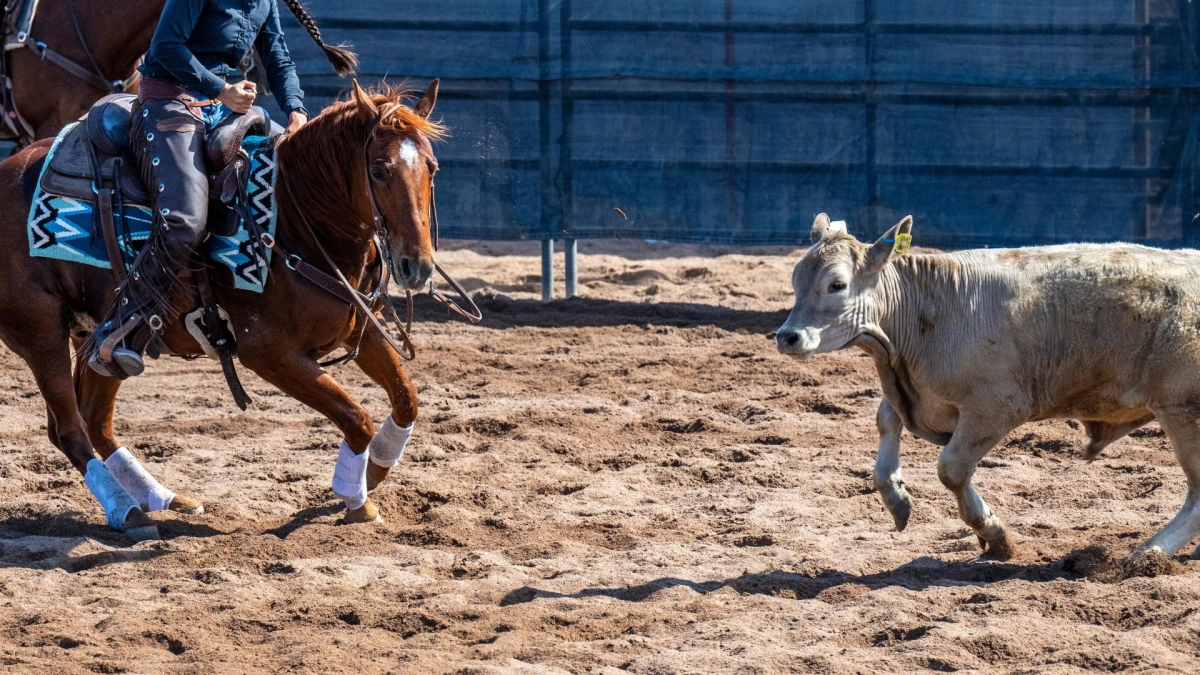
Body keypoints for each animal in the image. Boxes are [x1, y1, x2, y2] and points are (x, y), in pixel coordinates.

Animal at [0, 79, 445, 540]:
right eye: (378, 170)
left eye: (431, 167)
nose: (417, 266)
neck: (294, 220)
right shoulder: (270, 355)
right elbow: (356, 417)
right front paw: (357, 498)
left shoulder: (361, 328)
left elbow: (406, 398)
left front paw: (375, 470)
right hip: (40, 333)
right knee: (70, 429)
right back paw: (128, 510)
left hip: (99, 340)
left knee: (94, 418)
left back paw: (162, 497)